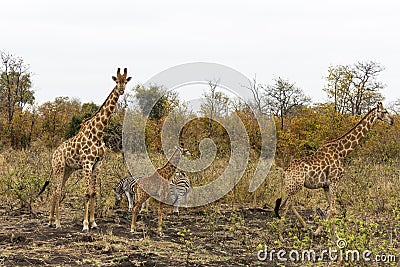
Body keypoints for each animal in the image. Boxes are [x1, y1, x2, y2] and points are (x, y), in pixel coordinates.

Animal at [48, 68, 132, 232]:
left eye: (125, 81)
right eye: (116, 80)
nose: (121, 90)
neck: (98, 132)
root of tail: (54, 154)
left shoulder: (98, 163)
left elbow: (93, 193)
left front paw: (93, 222)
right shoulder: (87, 163)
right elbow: (86, 193)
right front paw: (85, 225)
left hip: (67, 169)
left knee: (55, 190)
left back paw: (50, 221)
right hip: (59, 167)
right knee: (57, 190)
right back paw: (58, 223)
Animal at [276, 102, 394, 237]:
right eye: (384, 111)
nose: (392, 121)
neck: (342, 152)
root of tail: (285, 172)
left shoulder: (326, 185)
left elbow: (331, 209)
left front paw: (324, 232)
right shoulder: (334, 181)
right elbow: (333, 209)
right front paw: (331, 234)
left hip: (291, 187)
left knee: (287, 204)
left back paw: (304, 226)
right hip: (295, 186)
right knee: (286, 206)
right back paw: (281, 236)